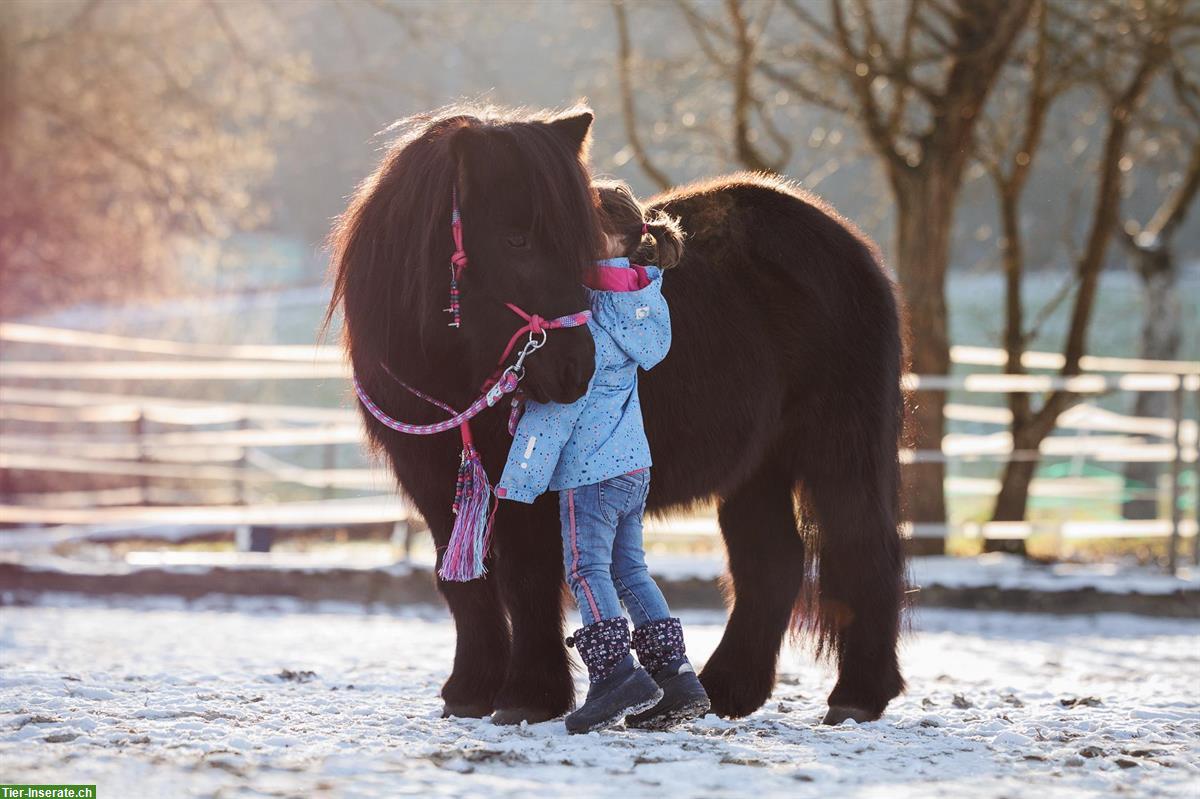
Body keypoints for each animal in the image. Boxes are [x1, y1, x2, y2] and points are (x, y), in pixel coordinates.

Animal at [328, 104, 902, 719]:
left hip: (840, 447)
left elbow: (527, 577)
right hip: (757, 468)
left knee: (863, 546)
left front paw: (529, 696)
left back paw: (858, 695)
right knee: (772, 561)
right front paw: (470, 691)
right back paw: (727, 688)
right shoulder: (434, 482)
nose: (576, 370)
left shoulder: (533, 481)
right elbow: (463, 584)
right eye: (515, 239)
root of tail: (846, 242)